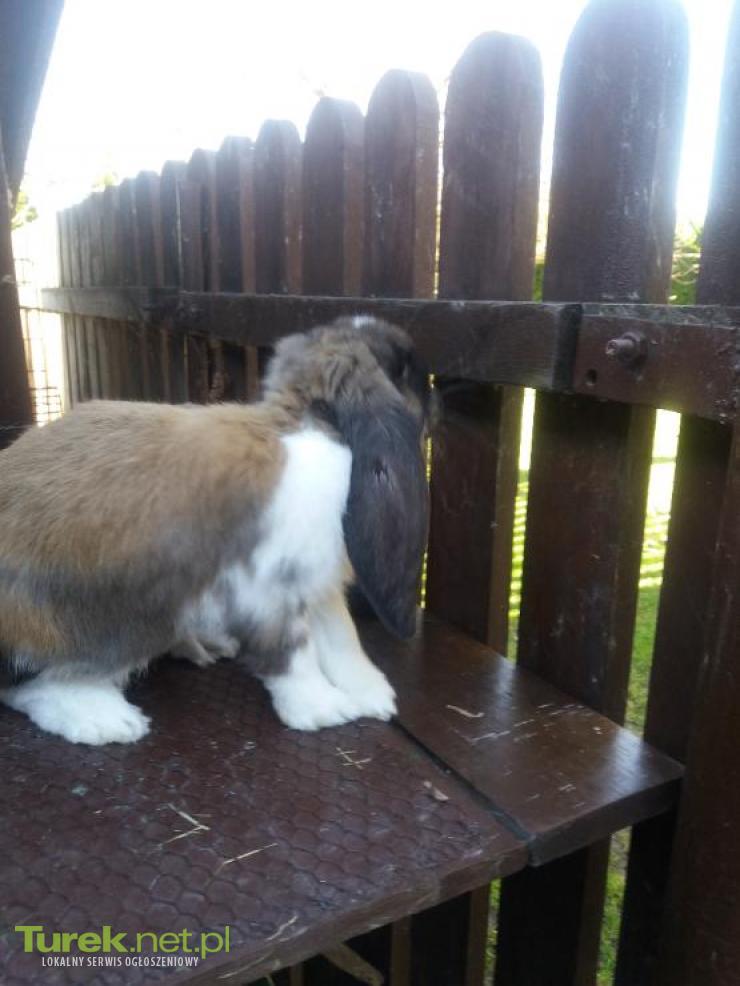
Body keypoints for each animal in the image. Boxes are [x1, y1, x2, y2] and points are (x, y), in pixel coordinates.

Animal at [0, 316, 431, 745]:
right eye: (403, 370)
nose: (434, 398)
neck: (312, 426)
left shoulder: (318, 588)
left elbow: (342, 639)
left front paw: (374, 696)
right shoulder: (268, 592)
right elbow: (294, 655)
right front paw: (324, 710)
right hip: (120, 619)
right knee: (33, 686)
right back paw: (105, 720)